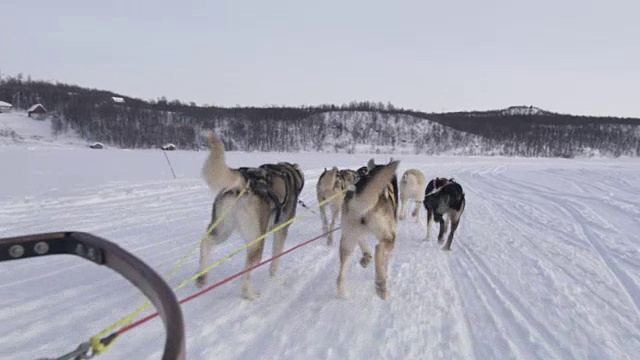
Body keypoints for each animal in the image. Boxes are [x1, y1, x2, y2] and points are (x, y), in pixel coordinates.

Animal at [196, 131, 304, 298]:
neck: (289, 175)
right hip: (257, 241)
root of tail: (244, 182)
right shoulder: (281, 229)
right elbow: (275, 259)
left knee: (206, 242)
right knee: (246, 271)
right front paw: (276, 277)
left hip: (222, 230)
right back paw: (249, 293)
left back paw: (202, 276)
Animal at [336, 159, 400, 300]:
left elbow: (363, 243)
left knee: (340, 275)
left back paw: (342, 293)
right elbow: (387, 260)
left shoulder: (358, 233)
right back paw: (381, 284)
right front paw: (386, 274)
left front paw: (366, 257)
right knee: (379, 249)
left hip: (347, 241)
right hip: (390, 237)